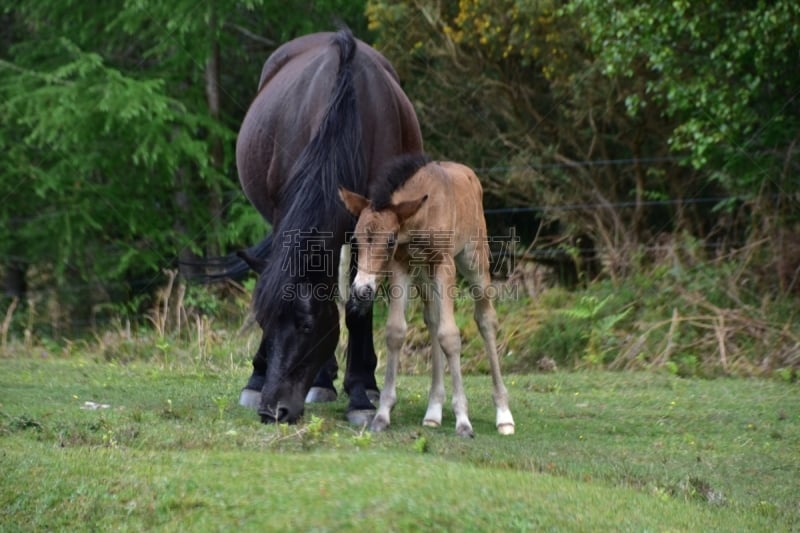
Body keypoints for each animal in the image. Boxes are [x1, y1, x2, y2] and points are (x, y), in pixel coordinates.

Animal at [227, 30, 422, 424]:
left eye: (306, 325)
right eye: (264, 322)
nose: (273, 411)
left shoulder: (373, 229)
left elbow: (359, 304)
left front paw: (360, 395)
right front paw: (258, 377)